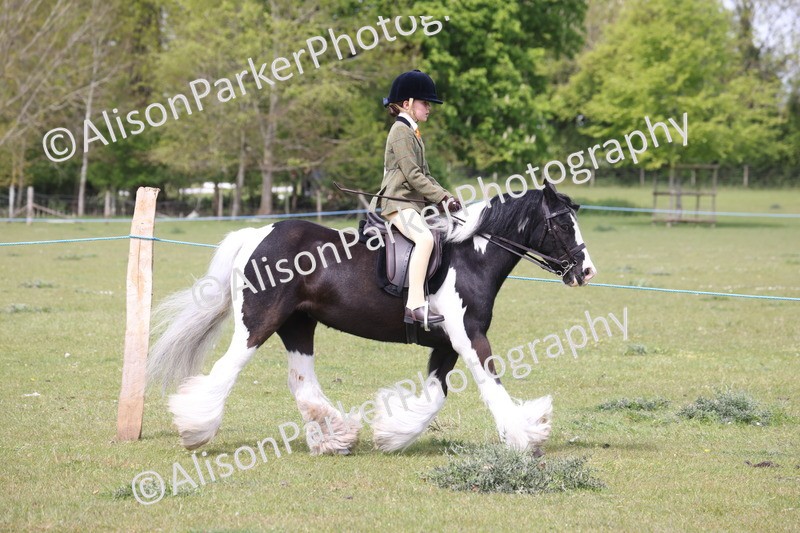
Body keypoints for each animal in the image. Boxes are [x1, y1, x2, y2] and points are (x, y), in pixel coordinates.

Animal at [147, 181, 596, 455]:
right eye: (561, 223)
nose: (586, 271)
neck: (471, 256)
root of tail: (258, 234)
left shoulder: (446, 343)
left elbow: (435, 395)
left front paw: (393, 432)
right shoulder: (468, 336)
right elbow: (491, 385)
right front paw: (526, 434)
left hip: (297, 325)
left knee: (302, 383)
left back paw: (336, 437)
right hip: (258, 323)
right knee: (227, 370)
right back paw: (195, 428)